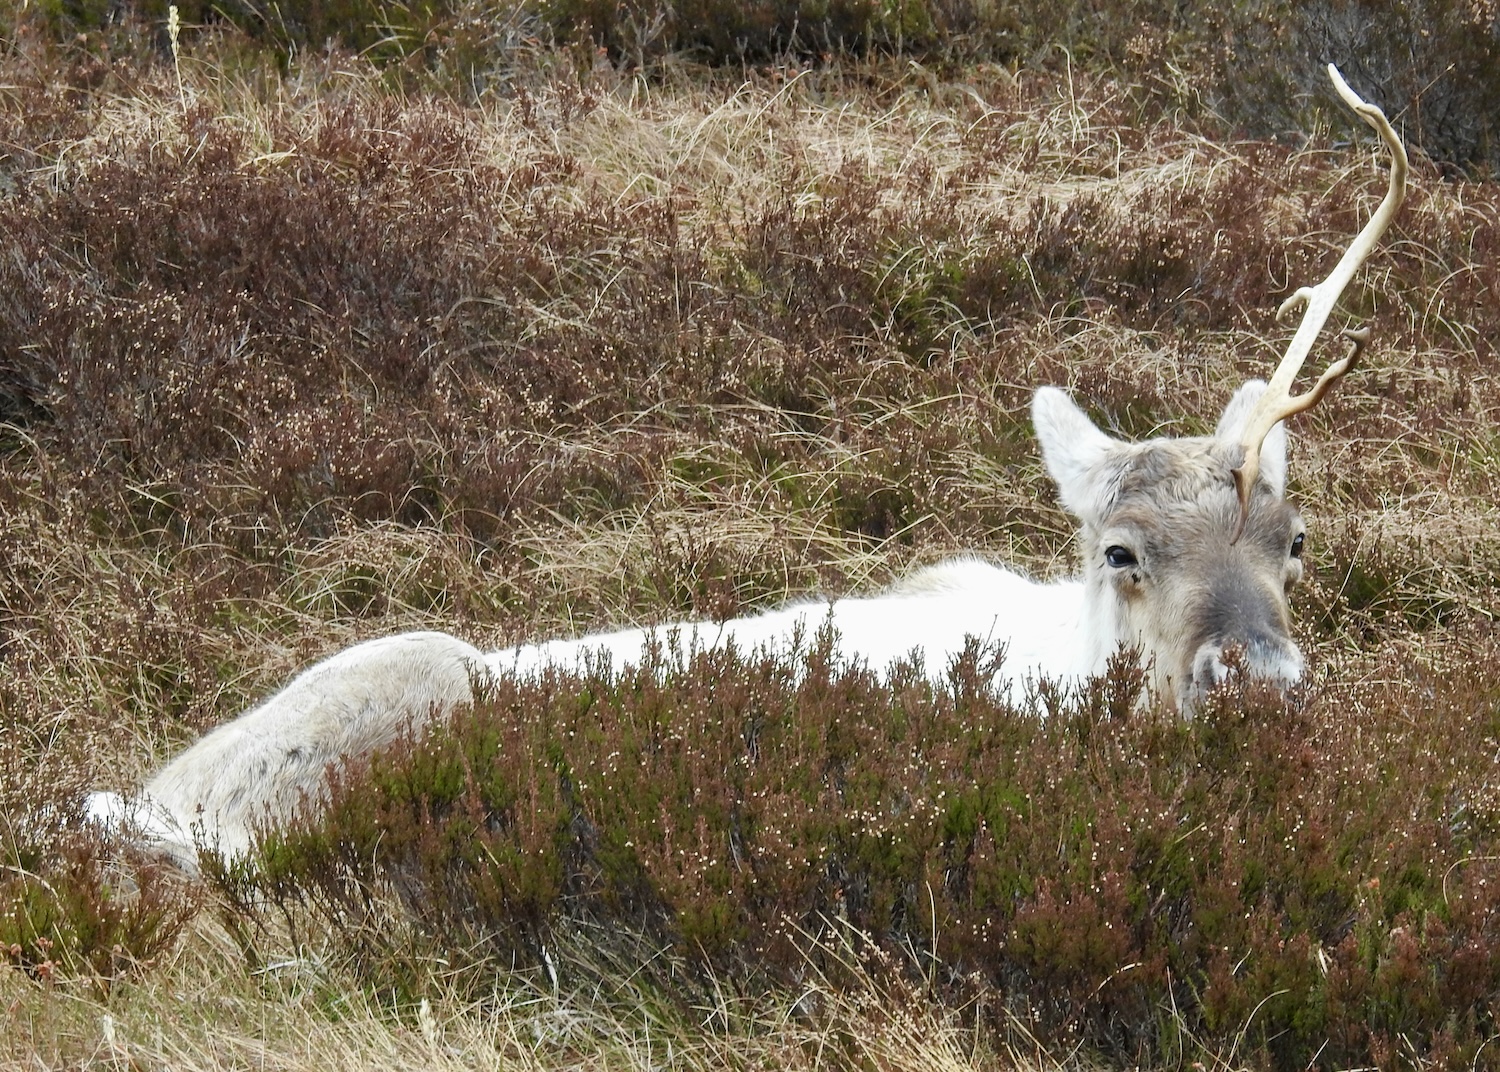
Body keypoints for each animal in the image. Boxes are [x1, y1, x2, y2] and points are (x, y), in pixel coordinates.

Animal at [84, 66, 1407, 873]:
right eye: (1122, 550)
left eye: (1294, 539)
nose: (1260, 682)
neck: (1061, 664)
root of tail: (153, 796)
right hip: (409, 684)